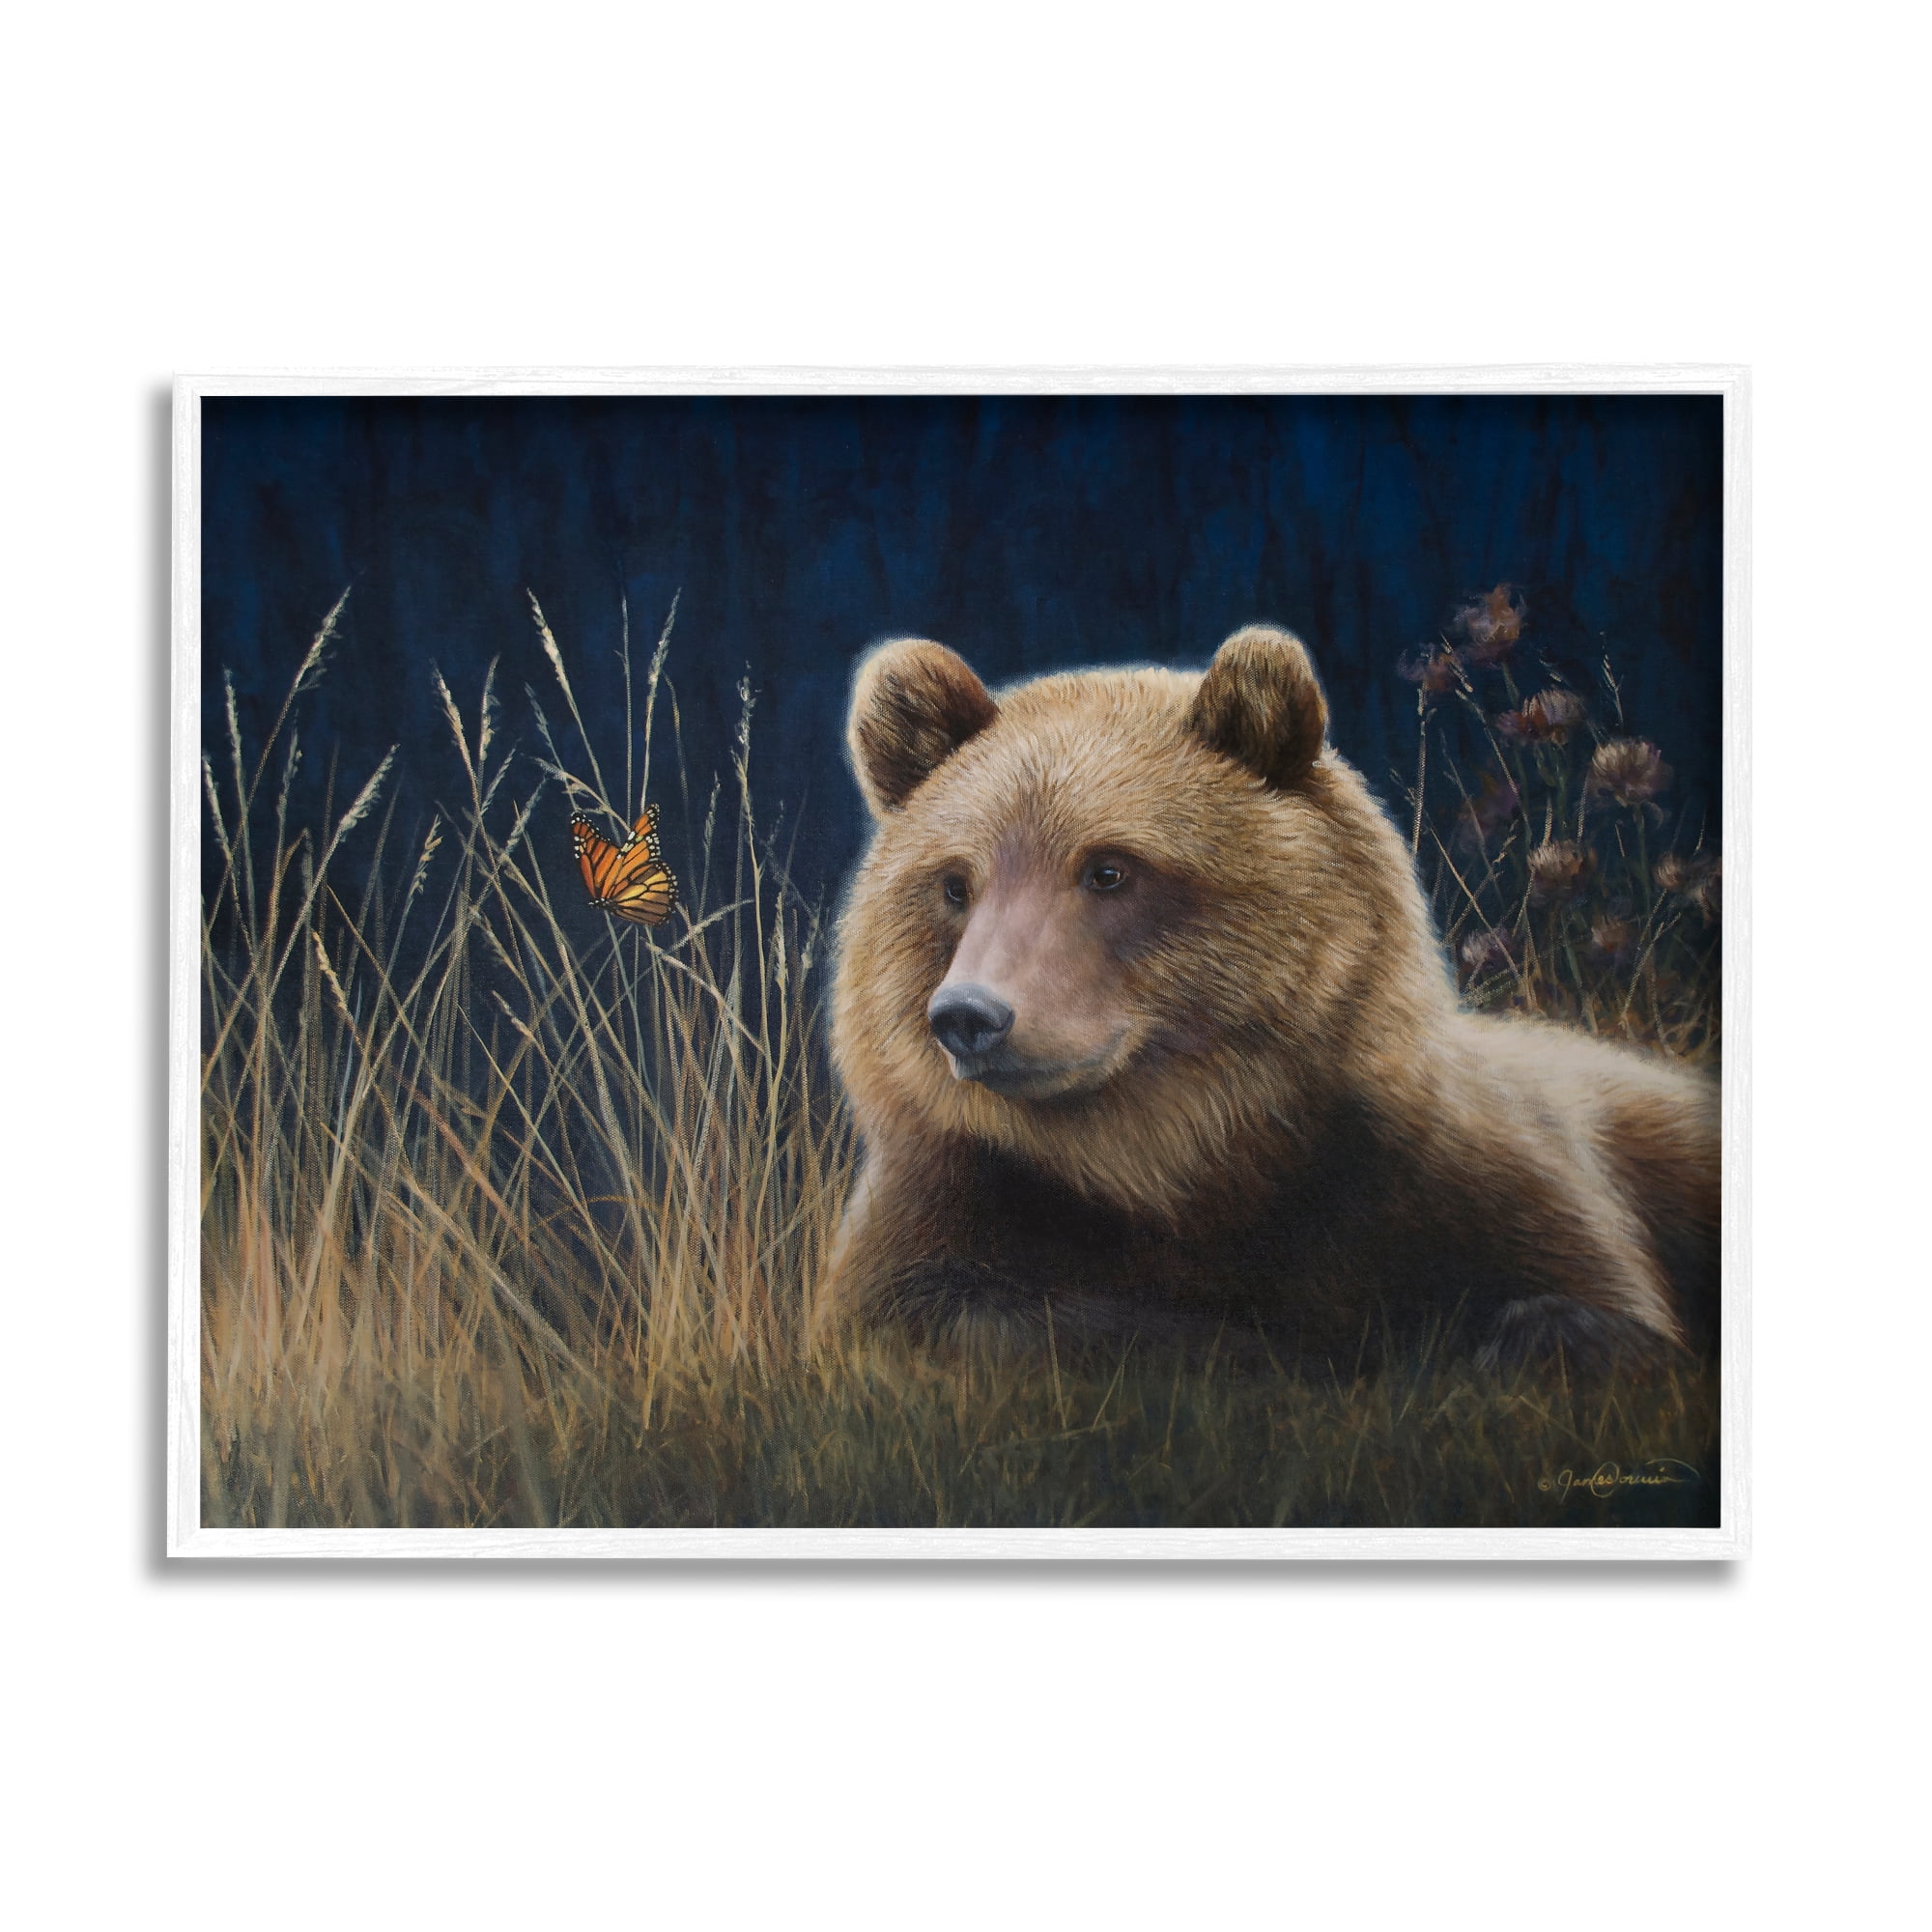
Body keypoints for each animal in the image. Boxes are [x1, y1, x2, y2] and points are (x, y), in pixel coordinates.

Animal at [824, 624, 1719, 1371]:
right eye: (954, 883)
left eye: (1109, 868)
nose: (970, 1016)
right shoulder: (955, 1199)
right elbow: (944, 1317)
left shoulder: (1438, 1171)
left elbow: (1589, 1296)